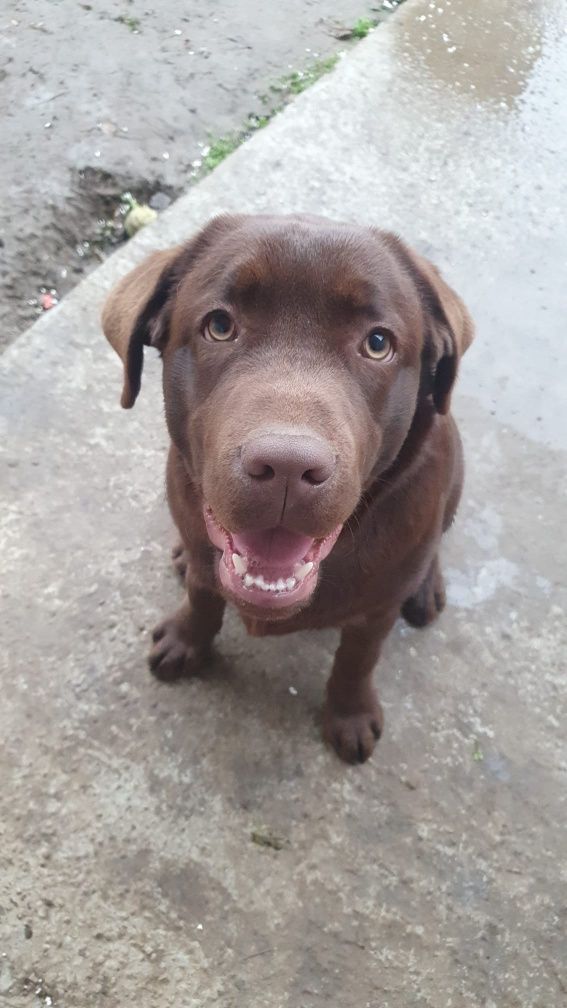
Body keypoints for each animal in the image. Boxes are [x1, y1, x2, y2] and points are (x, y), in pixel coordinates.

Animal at [102, 214, 472, 762]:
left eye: (378, 343)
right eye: (219, 326)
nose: (286, 466)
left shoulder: (377, 609)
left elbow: (358, 658)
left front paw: (350, 714)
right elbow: (203, 597)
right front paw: (187, 640)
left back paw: (425, 585)